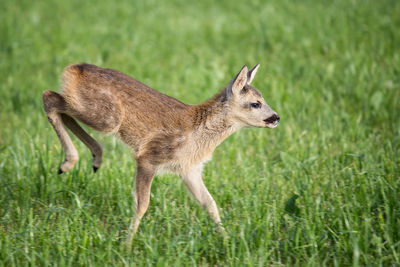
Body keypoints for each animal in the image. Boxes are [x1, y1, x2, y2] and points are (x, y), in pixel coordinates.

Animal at [41, 63, 278, 247]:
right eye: (255, 103)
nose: (276, 117)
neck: (196, 136)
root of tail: (75, 68)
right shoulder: (150, 156)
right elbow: (142, 204)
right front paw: (127, 244)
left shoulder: (189, 169)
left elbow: (210, 204)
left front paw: (228, 241)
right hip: (106, 117)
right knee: (49, 97)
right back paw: (69, 162)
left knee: (59, 105)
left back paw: (93, 157)